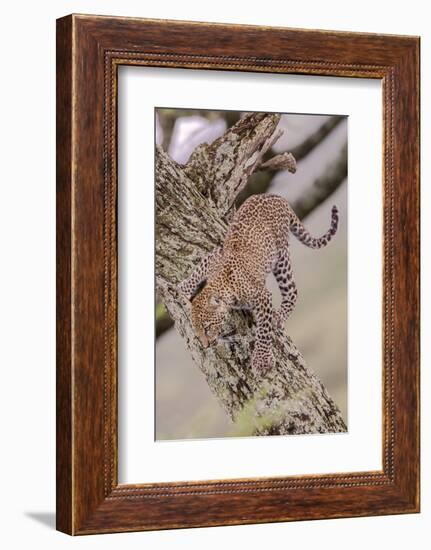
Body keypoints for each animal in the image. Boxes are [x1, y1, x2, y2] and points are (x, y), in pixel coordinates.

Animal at [177, 195, 340, 376]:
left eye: (207, 327)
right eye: (197, 332)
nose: (207, 345)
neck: (224, 285)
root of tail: (276, 197)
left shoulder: (262, 297)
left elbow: (263, 330)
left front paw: (261, 360)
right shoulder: (215, 256)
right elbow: (198, 271)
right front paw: (183, 291)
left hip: (281, 256)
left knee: (292, 291)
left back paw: (279, 317)